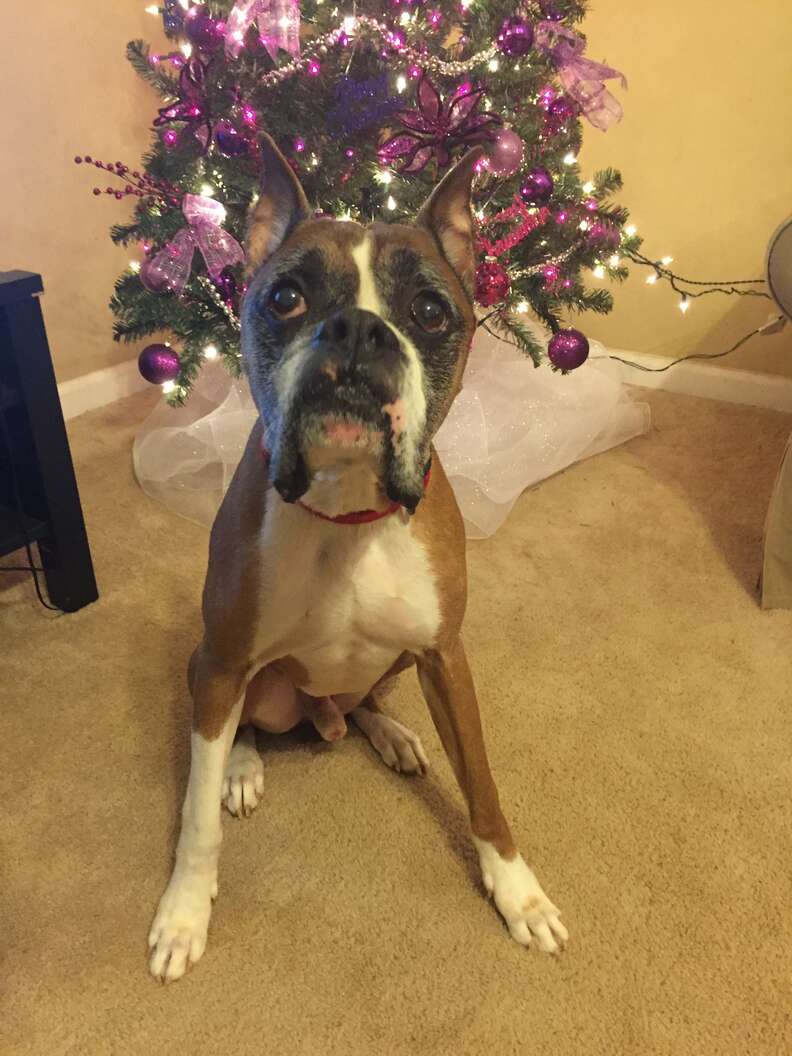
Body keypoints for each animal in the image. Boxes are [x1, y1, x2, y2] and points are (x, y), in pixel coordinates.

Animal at [148, 134, 566, 979]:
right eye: (286, 298)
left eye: (429, 312)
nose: (358, 330)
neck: (348, 511)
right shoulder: (221, 658)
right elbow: (196, 814)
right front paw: (183, 911)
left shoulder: (446, 656)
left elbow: (482, 783)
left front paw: (518, 891)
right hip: (226, 675)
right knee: (247, 722)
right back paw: (244, 765)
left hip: (399, 663)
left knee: (366, 698)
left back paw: (392, 733)